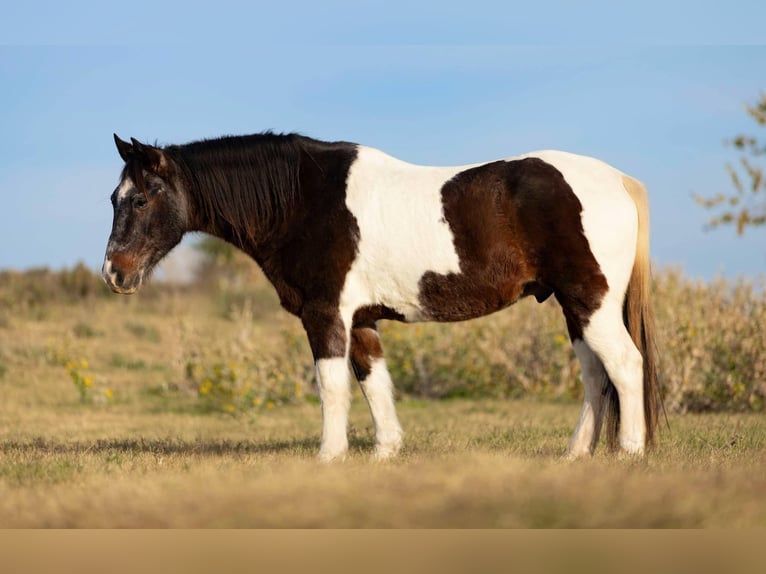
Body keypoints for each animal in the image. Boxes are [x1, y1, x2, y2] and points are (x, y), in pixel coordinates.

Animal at [103, 132, 661, 461]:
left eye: (140, 199)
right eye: (114, 197)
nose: (114, 273)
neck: (302, 200)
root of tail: (618, 180)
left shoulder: (325, 314)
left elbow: (332, 386)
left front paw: (329, 457)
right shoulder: (362, 319)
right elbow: (373, 382)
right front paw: (384, 453)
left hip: (590, 302)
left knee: (625, 366)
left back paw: (630, 453)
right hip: (575, 307)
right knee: (596, 376)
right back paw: (576, 455)